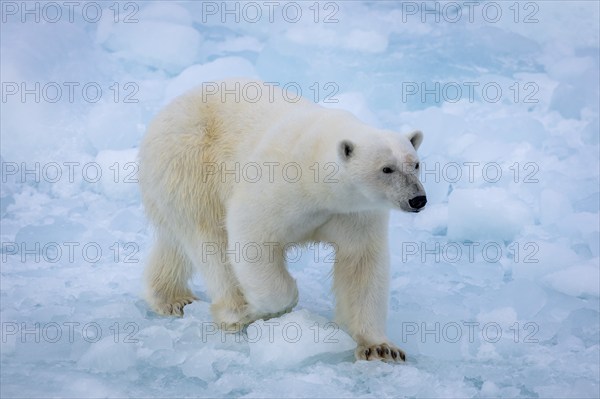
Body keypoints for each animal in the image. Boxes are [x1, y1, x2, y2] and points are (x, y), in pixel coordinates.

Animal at [137, 80, 426, 362]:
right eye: (386, 168)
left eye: (415, 164)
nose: (418, 199)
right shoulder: (279, 185)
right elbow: (251, 238)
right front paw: (265, 308)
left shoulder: (354, 213)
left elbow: (361, 263)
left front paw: (381, 348)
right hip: (189, 162)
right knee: (207, 238)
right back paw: (233, 311)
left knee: (175, 243)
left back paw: (171, 298)